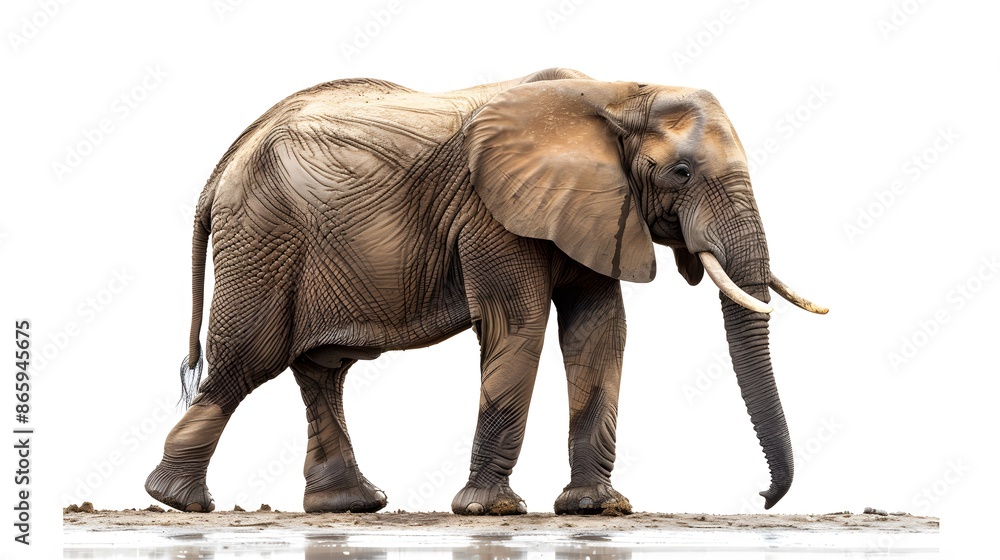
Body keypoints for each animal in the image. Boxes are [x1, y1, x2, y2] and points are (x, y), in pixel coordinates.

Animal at [145, 67, 826, 516]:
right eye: (681, 172)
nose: (764, 497)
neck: (617, 91)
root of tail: (225, 162)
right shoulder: (492, 213)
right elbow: (518, 326)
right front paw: (491, 512)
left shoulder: (600, 209)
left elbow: (600, 332)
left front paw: (598, 509)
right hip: (263, 236)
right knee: (248, 360)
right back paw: (179, 501)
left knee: (321, 369)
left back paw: (349, 506)